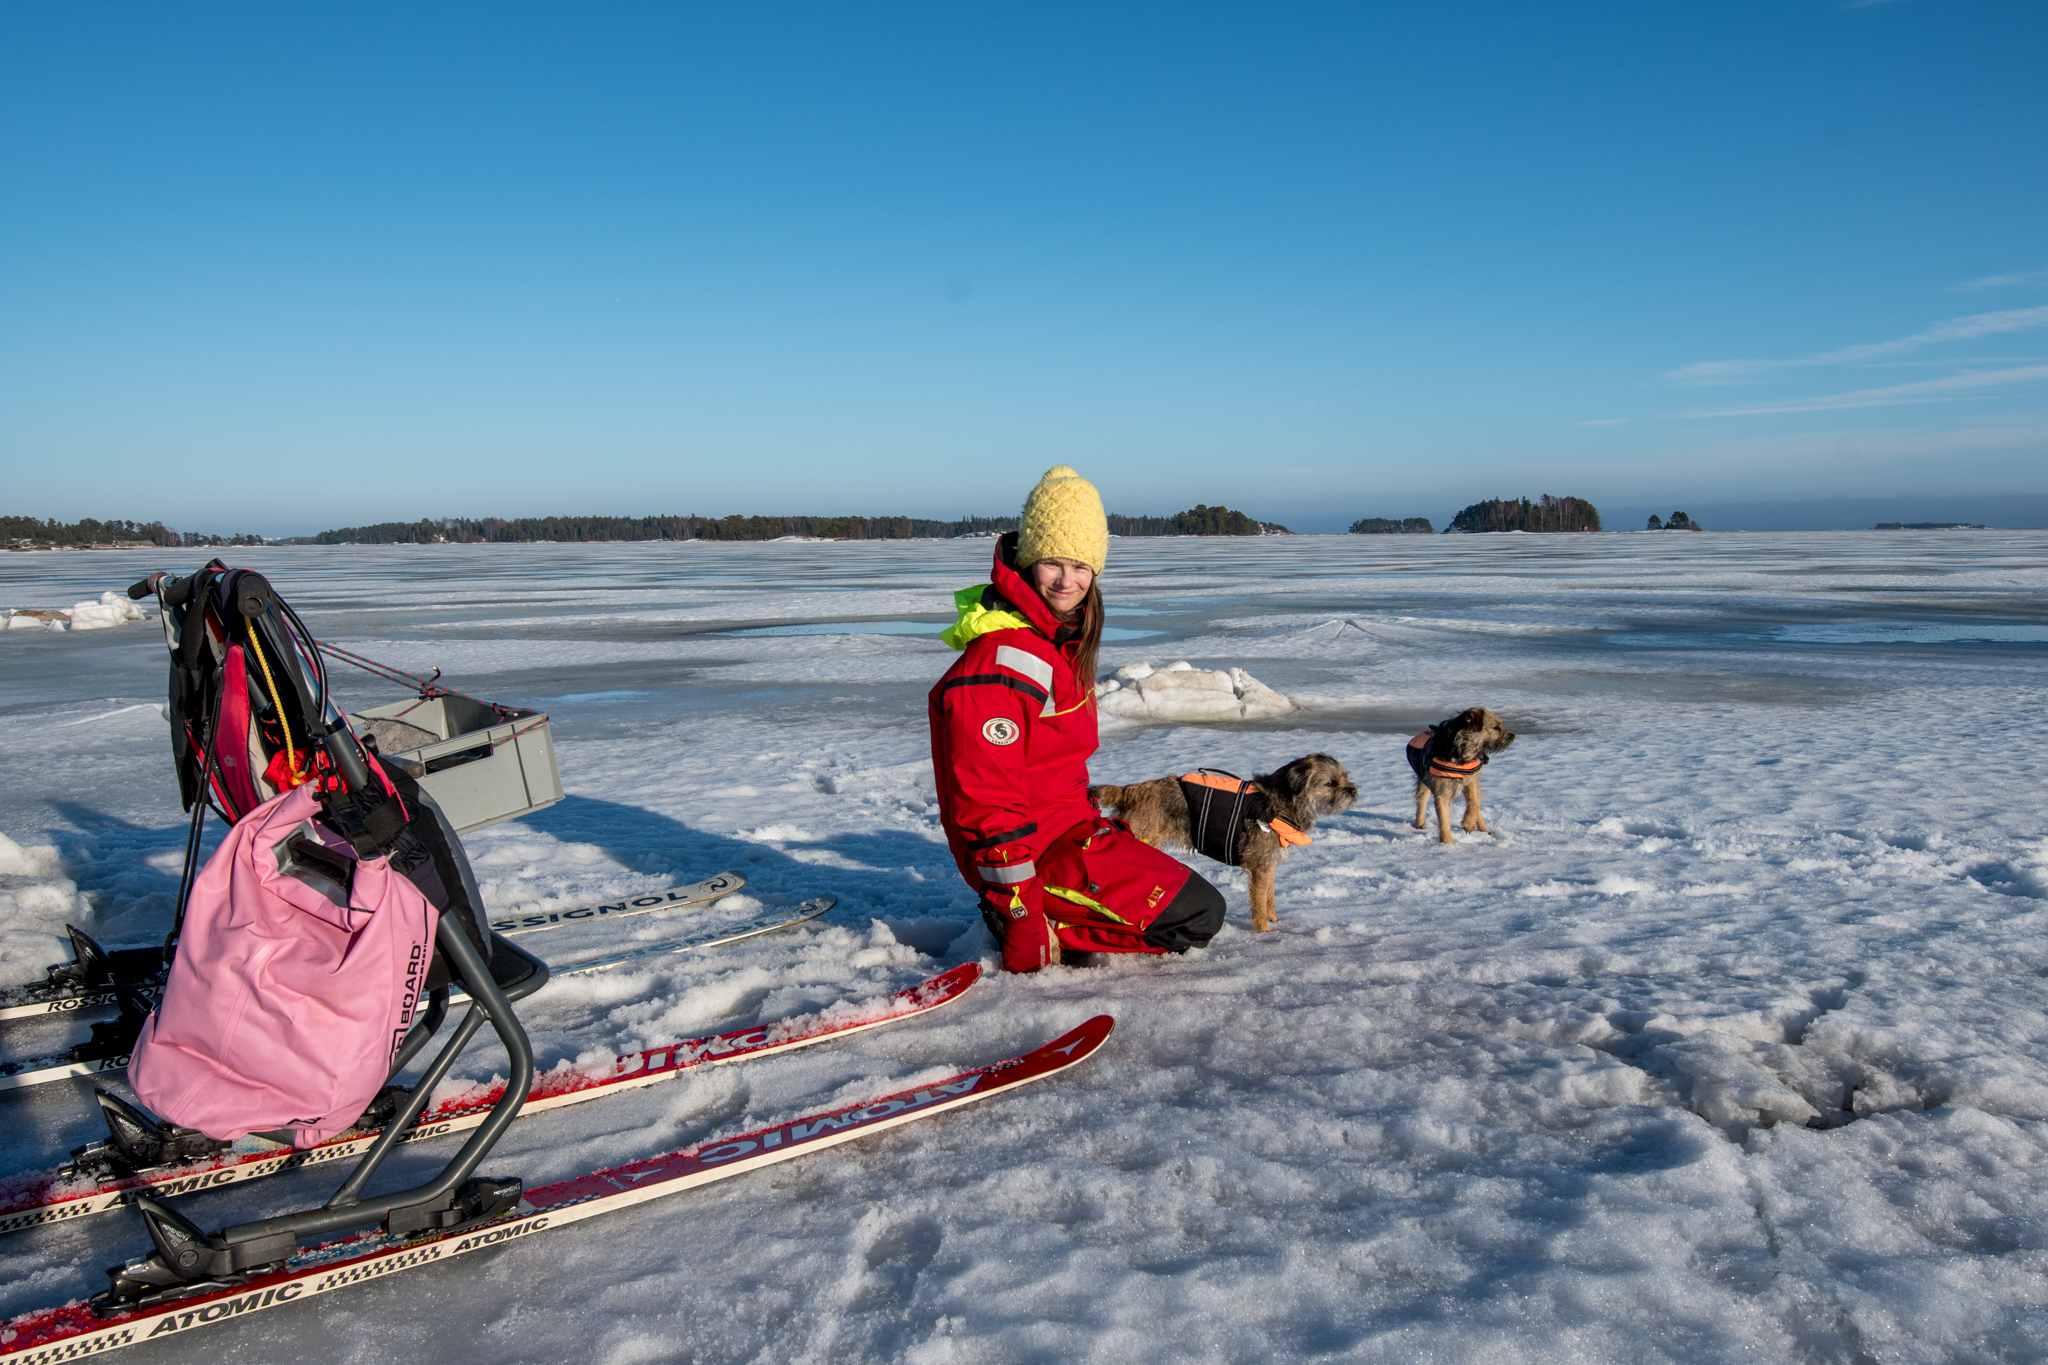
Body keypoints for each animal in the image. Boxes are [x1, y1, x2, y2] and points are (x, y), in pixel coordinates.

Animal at [1089, 753, 1359, 933]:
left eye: (1345, 776)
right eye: (1331, 783)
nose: (1354, 790)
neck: (1279, 802)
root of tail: (1130, 790)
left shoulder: (1268, 864)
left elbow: (1269, 896)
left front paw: (1274, 921)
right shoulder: (1260, 866)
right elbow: (1259, 901)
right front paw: (1264, 932)